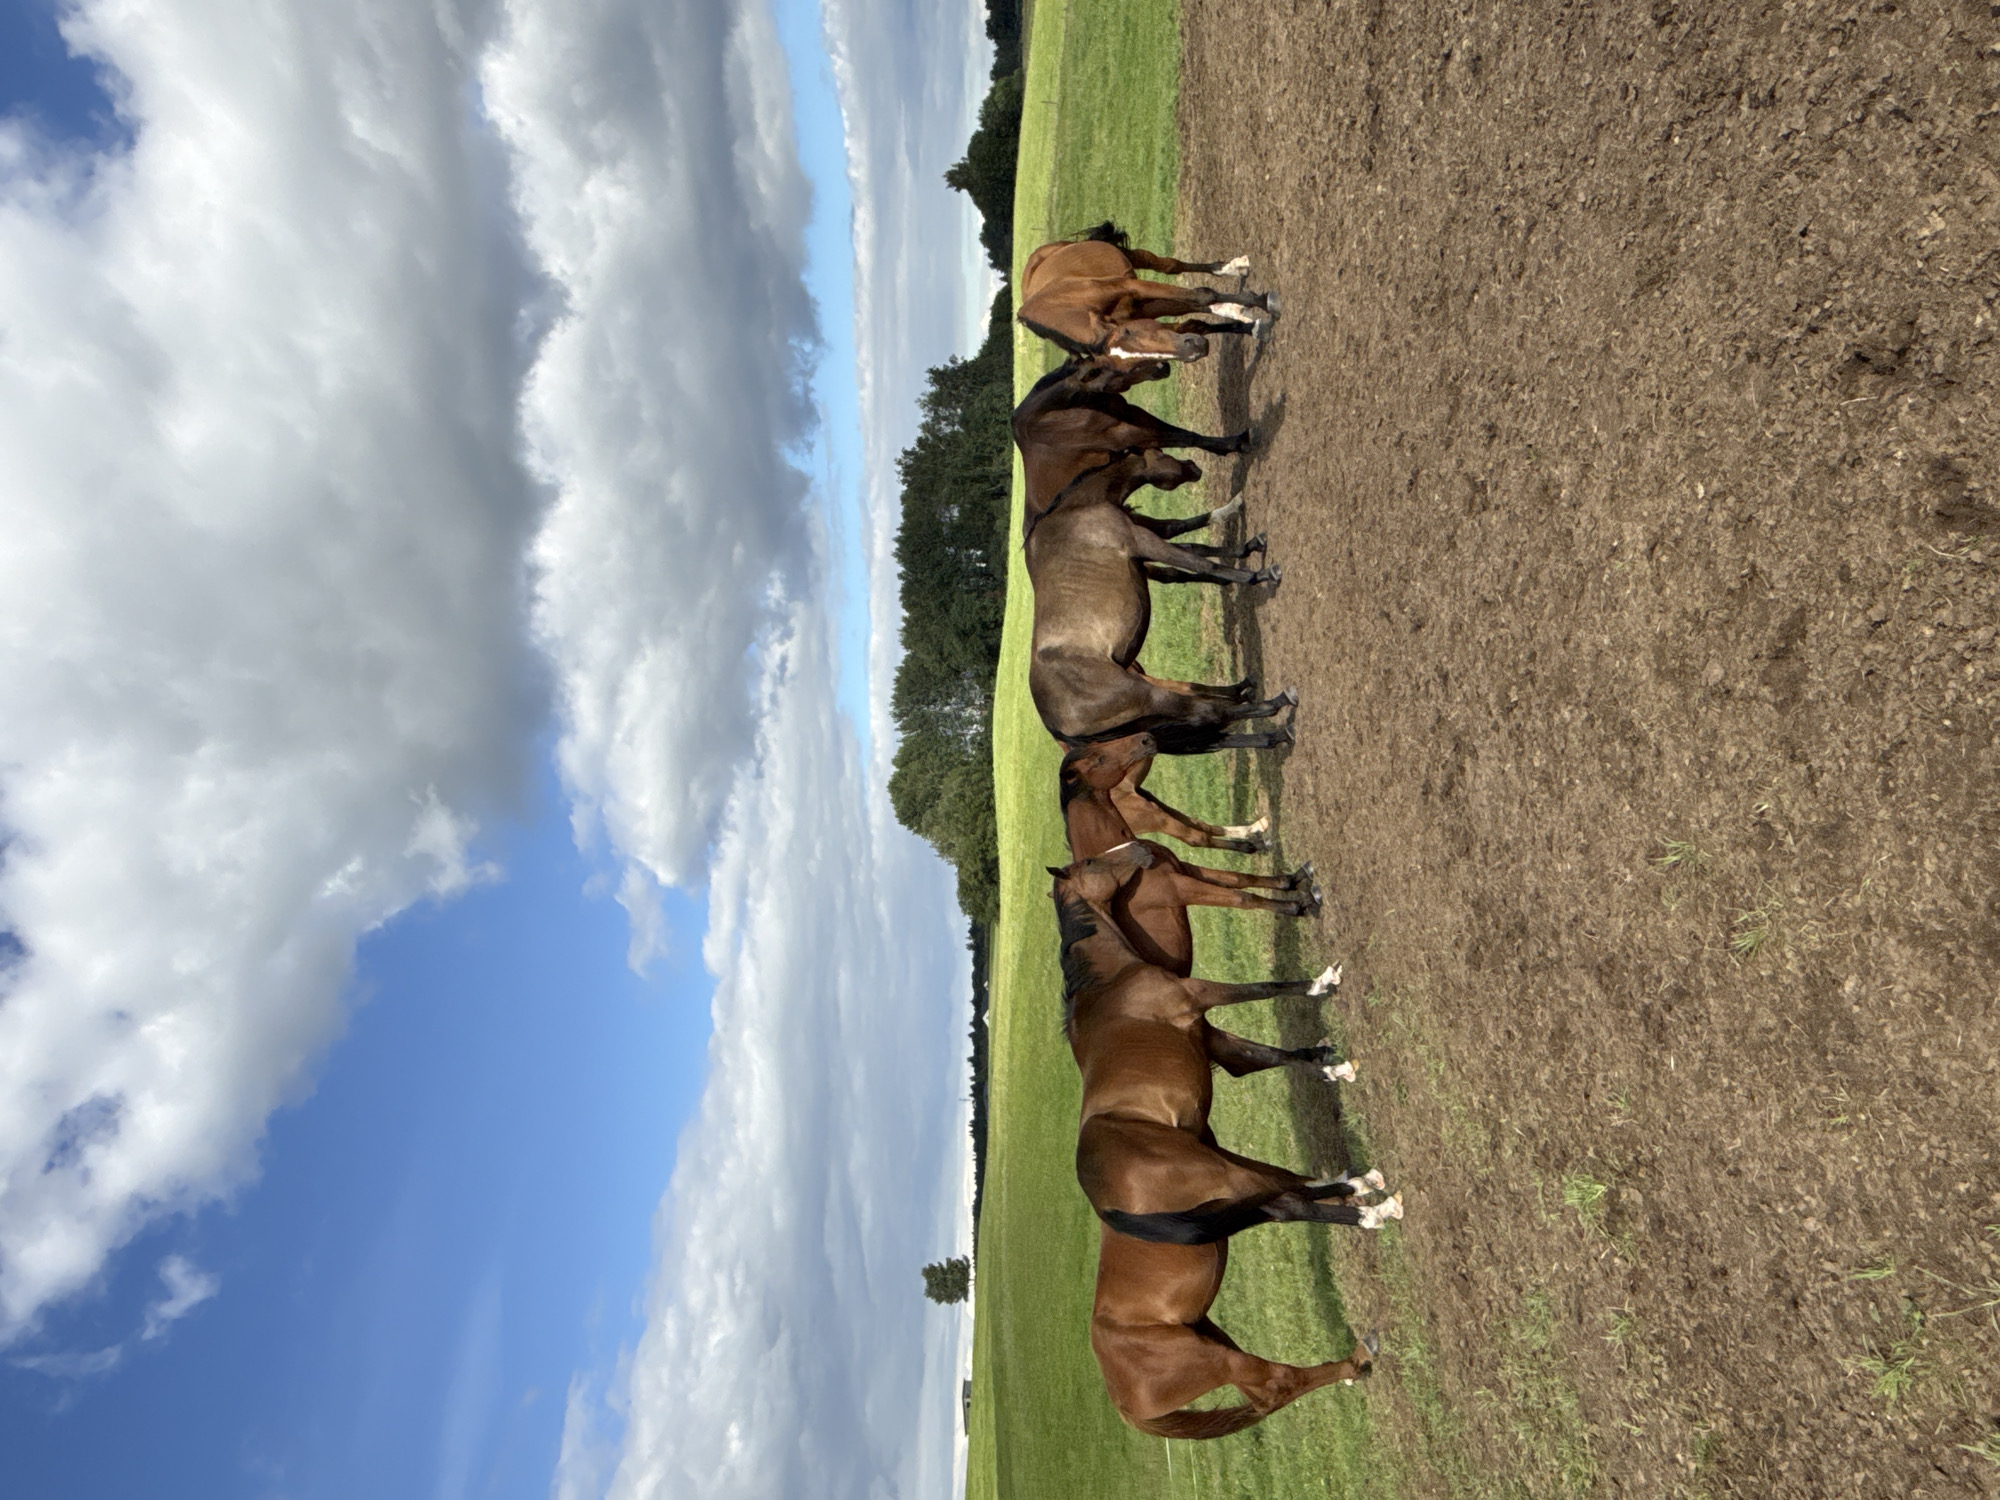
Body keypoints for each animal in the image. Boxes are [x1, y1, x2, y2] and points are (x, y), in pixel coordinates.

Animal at [1018, 222, 1275, 361]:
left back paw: (1231, 269)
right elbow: (1194, 320)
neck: (1067, 304)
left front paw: (1260, 301)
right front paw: (1250, 324)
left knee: (1170, 266)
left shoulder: (1130, 287)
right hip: (1142, 305)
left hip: (1132, 263)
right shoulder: (1141, 312)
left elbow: (1202, 295)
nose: (1193, 353)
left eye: (1130, 333)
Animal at [1026, 452, 1294, 754]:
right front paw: (1258, 575)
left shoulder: (1145, 551)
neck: (1078, 509)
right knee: (1208, 713)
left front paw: (1248, 544)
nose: (1193, 466)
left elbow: (1197, 552)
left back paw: (1262, 719)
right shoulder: (1143, 542)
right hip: (1152, 698)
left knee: (1205, 718)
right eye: (1161, 452)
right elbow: (1200, 562)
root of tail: (1056, 727)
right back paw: (1277, 705)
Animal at [1054, 846, 1402, 1245]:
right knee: (1296, 1200)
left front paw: (1330, 1066)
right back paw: (1370, 1202)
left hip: (1230, 1176)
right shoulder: (1199, 995)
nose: (1139, 849)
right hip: (1229, 1174)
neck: (1111, 981)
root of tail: (1106, 1207)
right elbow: (1263, 989)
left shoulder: (1211, 1039)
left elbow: (1268, 1055)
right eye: (1091, 862)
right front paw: (1320, 983)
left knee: (1288, 1200)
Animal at [1092, 1227, 1380, 1437]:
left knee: (1265, 1395)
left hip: (1213, 1340)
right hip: (1220, 1360)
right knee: (1283, 1382)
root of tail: (1121, 1399)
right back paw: (1359, 1360)